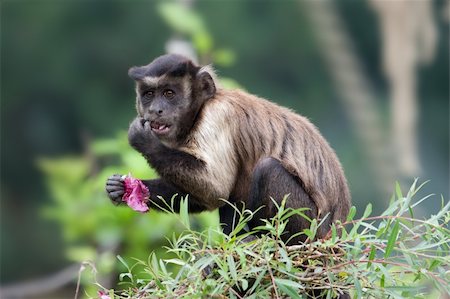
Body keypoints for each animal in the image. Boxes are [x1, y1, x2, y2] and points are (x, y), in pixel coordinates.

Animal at [105, 53, 352, 246]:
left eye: (168, 93)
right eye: (149, 94)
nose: (155, 110)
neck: (200, 110)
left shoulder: (218, 115)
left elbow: (216, 187)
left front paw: (144, 140)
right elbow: (207, 198)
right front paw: (122, 188)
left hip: (313, 230)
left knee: (267, 170)